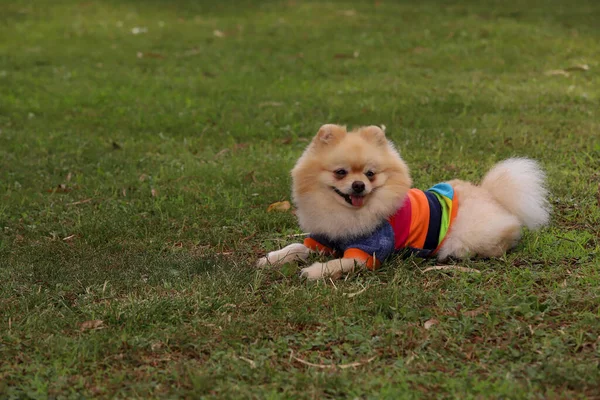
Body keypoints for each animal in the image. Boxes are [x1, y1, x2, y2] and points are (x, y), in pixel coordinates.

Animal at [255, 123, 552, 280]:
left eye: (370, 174)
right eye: (341, 172)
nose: (359, 185)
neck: (346, 213)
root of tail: (491, 193)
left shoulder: (368, 252)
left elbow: (339, 264)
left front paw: (314, 271)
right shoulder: (322, 239)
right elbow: (295, 246)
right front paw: (272, 258)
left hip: (471, 235)